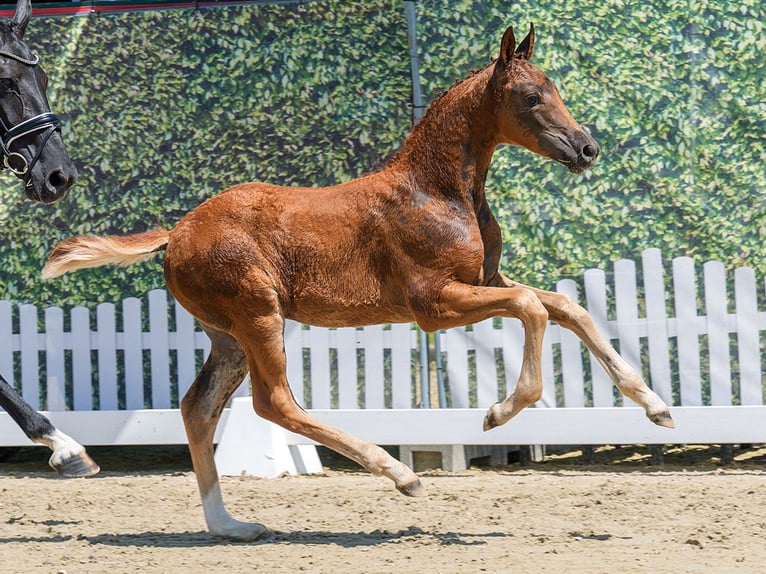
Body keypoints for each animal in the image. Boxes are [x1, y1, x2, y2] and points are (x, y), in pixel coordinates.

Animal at [43, 23, 673, 539]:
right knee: (273, 403)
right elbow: (531, 307)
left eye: (554, 87)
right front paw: (499, 412)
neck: (437, 191)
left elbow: (566, 305)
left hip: (227, 335)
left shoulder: (484, 277)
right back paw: (399, 474)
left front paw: (656, 406)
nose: (587, 148)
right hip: (258, 314)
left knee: (198, 407)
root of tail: (177, 232)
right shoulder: (434, 304)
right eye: (531, 96)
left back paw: (230, 525)